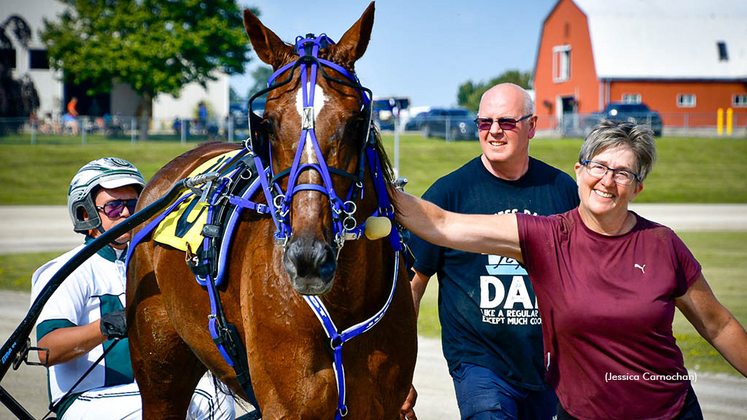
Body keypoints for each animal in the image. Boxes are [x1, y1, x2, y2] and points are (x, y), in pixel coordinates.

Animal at [125, 4, 418, 420]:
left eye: (355, 123)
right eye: (268, 124)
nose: (308, 258)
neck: (342, 307)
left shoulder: (382, 405)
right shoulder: (288, 405)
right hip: (158, 370)